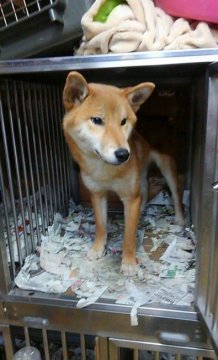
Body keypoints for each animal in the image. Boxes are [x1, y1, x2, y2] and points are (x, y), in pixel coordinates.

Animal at [62, 71, 184, 278]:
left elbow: (129, 235)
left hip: (167, 167)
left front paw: (128, 263)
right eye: (97, 120)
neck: (105, 170)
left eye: (123, 121)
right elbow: (101, 226)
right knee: (144, 188)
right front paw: (97, 248)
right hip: (140, 170)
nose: (123, 154)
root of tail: (161, 119)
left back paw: (181, 220)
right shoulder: (97, 194)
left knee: (176, 194)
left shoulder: (129, 197)